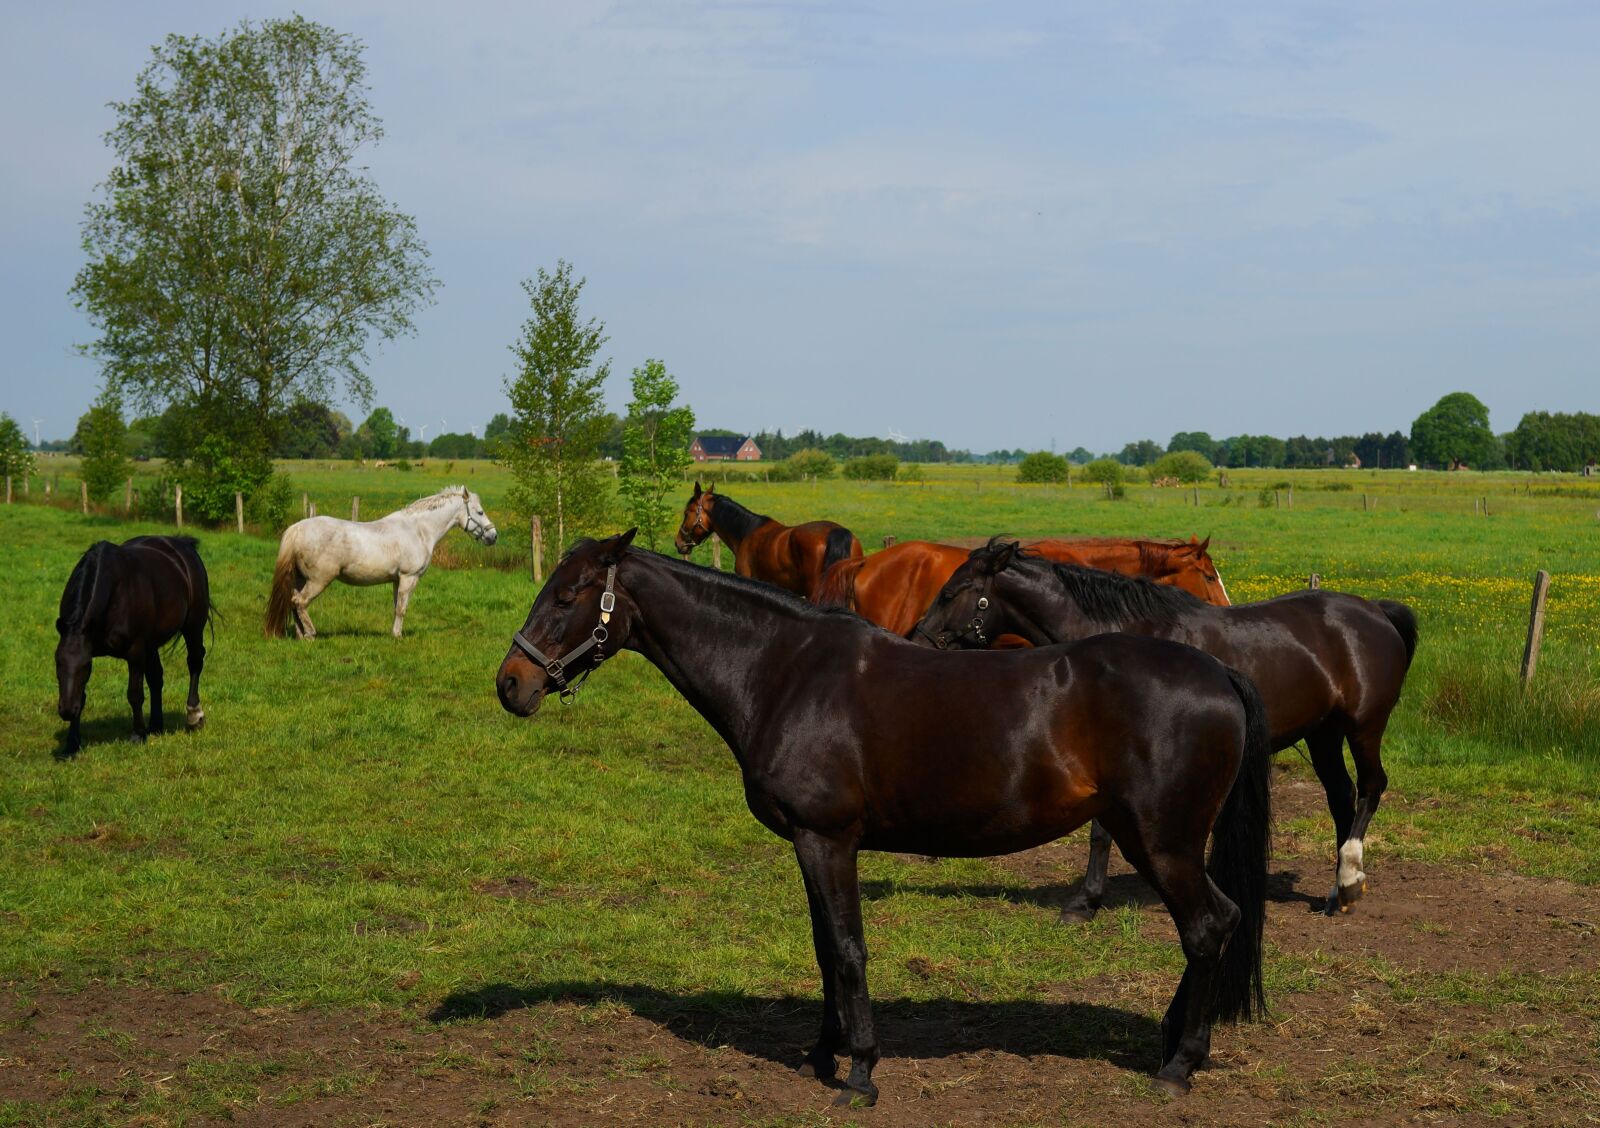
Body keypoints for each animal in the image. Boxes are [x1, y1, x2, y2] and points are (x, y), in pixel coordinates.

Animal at [54, 537, 214, 755]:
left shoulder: (135, 651)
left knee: (195, 662)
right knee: (156, 678)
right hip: (152, 643)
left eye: (85, 666)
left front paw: (138, 734)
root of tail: (182, 544)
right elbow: (82, 695)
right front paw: (72, 744)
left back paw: (193, 715)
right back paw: (155, 725)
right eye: (57, 663)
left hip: (193, 626)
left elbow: (135, 693)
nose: (67, 711)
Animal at [265, 489, 496, 636]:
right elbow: (402, 609)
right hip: (318, 580)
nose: (493, 536)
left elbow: (396, 607)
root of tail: (297, 528)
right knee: (300, 602)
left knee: (293, 602)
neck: (419, 530)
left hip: (300, 579)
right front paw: (398, 636)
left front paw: (394, 633)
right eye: (480, 511)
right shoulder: (409, 577)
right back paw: (311, 634)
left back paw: (301, 634)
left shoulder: (397, 580)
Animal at [492, 531, 1267, 1107]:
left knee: (1207, 927)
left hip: (1161, 842)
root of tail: (1216, 672)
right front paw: (819, 1054)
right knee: (1220, 921)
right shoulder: (810, 845)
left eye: (567, 596)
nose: (510, 684)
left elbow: (847, 949)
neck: (785, 672)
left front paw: (860, 1073)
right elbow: (822, 950)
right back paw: (1174, 1042)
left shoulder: (827, 841)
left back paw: (1179, 1065)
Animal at [908, 540, 1420, 921]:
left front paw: (1084, 902)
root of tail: (1376, 611)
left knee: (1371, 787)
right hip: (1323, 734)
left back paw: (1349, 880)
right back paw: (1338, 893)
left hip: (1363, 727)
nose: (917, 642)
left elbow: (1100, 832)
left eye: (951, 592)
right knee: (1341, 797)